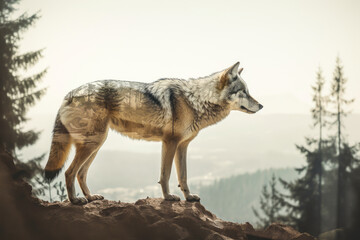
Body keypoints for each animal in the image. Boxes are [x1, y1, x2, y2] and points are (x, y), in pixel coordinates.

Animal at [45, 62, 262, 204]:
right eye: (243, 91)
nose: (261, 106)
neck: (195, 100)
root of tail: (68, 94)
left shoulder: (183, 146)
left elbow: (183, 176)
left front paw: (188, 197)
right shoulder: (170, 143)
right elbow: (165, 175)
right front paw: (168, 198)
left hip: (96, 144)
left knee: (81, 173)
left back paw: (91, 197)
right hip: (92, 144)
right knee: (69, 172)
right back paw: (76, 201)